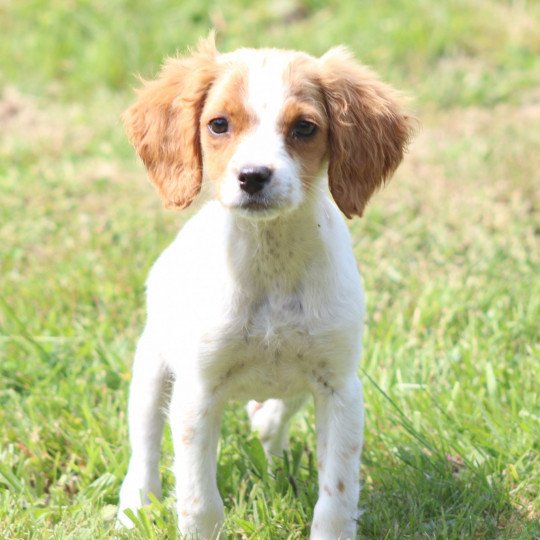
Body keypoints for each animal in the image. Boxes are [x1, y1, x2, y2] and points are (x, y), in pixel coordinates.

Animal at [118, 34, 412, 540]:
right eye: (218, 124)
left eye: (305, 128)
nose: (253, 176)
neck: (270, 263)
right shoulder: (197, 392)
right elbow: (199, 502)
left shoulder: (340, 388)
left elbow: (336, 497)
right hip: (153, 369)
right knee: (145, 447)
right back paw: (134, 505)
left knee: (280, 408)